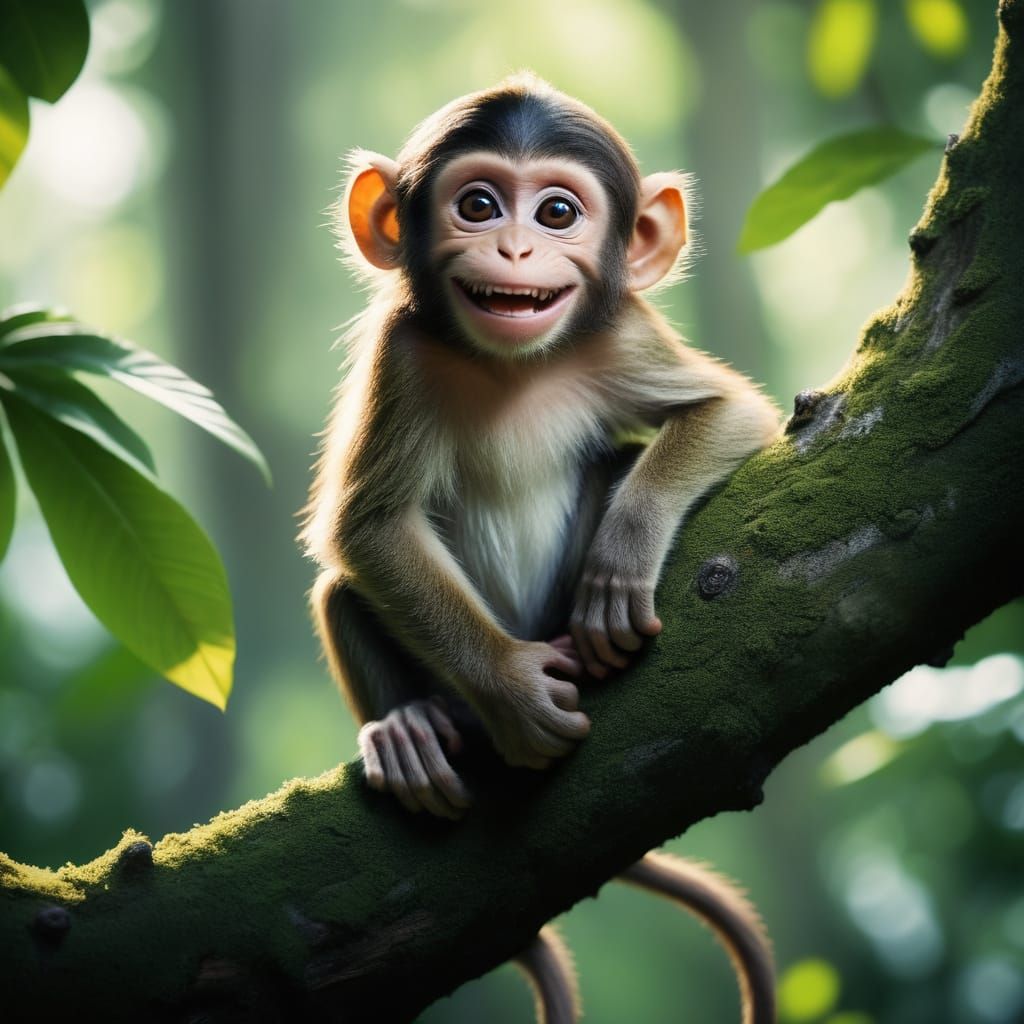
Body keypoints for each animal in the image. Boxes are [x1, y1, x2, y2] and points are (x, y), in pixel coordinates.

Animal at [302, 73, 780, 1023]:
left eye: (558, 212)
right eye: (478, 205)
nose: (516, 249)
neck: (511, 366)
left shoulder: (620, 332)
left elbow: (733, 411)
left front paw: (618, 566)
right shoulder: (401, 352)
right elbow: (366, 528)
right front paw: (512, 691)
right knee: (342, 586)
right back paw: (410, 727)